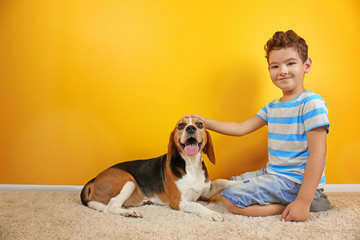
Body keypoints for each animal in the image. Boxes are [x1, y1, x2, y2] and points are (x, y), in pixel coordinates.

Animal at [81, 116, 239, 221]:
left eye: (200, 124)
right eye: (181, 125)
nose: (190, 128)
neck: (191, 165)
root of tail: (94, 179)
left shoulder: (204, 193)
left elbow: (221, 181)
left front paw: (238, 183)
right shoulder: (178, 202)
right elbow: (197, 206)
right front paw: (211, 213)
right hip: (129, 181)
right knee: (110, 208)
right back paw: (129, 213)